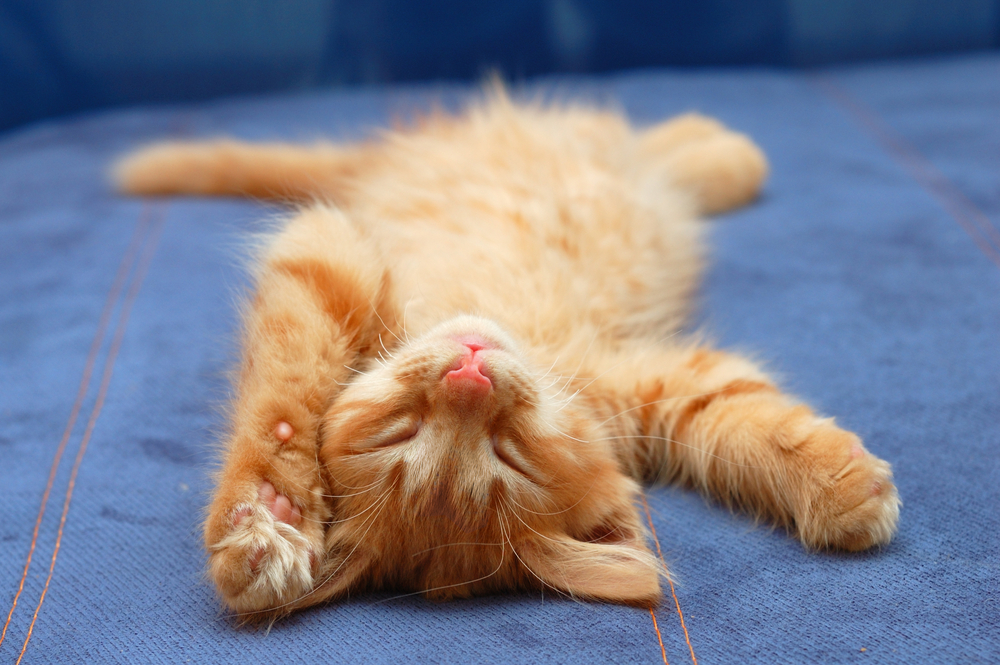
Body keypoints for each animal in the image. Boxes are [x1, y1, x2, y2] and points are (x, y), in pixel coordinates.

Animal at [113, 88, 904, 616]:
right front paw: (266, 513)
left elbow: (742, 416)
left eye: (509, 451)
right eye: (403, 433)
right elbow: (281, 398)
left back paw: (721, 149)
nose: (470, 371)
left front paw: (836, 481)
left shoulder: (640, 383)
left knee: (648, 151)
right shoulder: (325, 256)